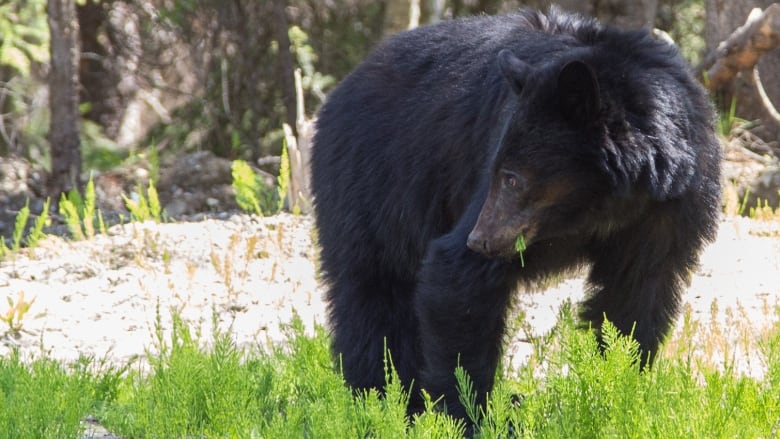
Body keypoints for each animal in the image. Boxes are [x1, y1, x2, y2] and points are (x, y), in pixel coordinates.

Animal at [308, 6, 724, 420]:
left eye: (512, 178)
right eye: (496, 171)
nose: (480, 239)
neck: (607, 203)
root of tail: (341, 89)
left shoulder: (671, 208)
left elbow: (635, 296)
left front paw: (617, 388)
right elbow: (457, 277)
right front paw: (467, 413)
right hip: (374, 183)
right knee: (373, 295)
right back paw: (380, 399)